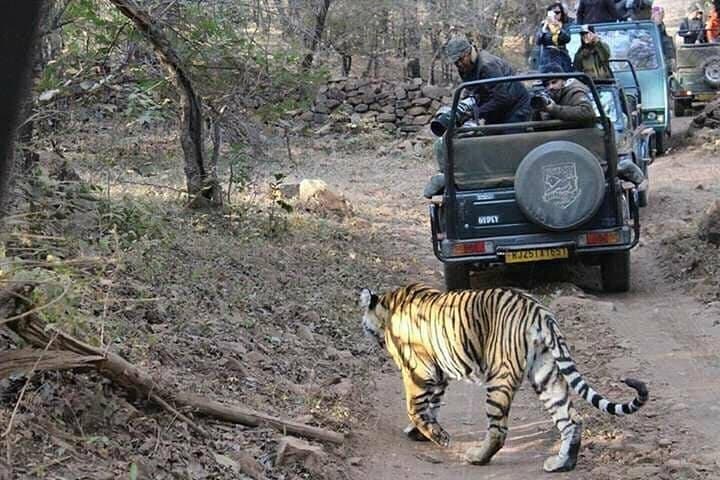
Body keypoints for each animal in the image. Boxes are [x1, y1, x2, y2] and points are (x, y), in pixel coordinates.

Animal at [359, 283, 648, 473]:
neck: (388, 306)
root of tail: (540, 312)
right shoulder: (438, 373)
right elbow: (433, 403)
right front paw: (421, 432)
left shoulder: (417, 370)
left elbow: (415, 407)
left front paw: (438, 436)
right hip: (546, 374)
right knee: (571, 419)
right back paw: (561, 464)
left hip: (499, 378)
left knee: (499, 430)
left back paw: (477, 457)